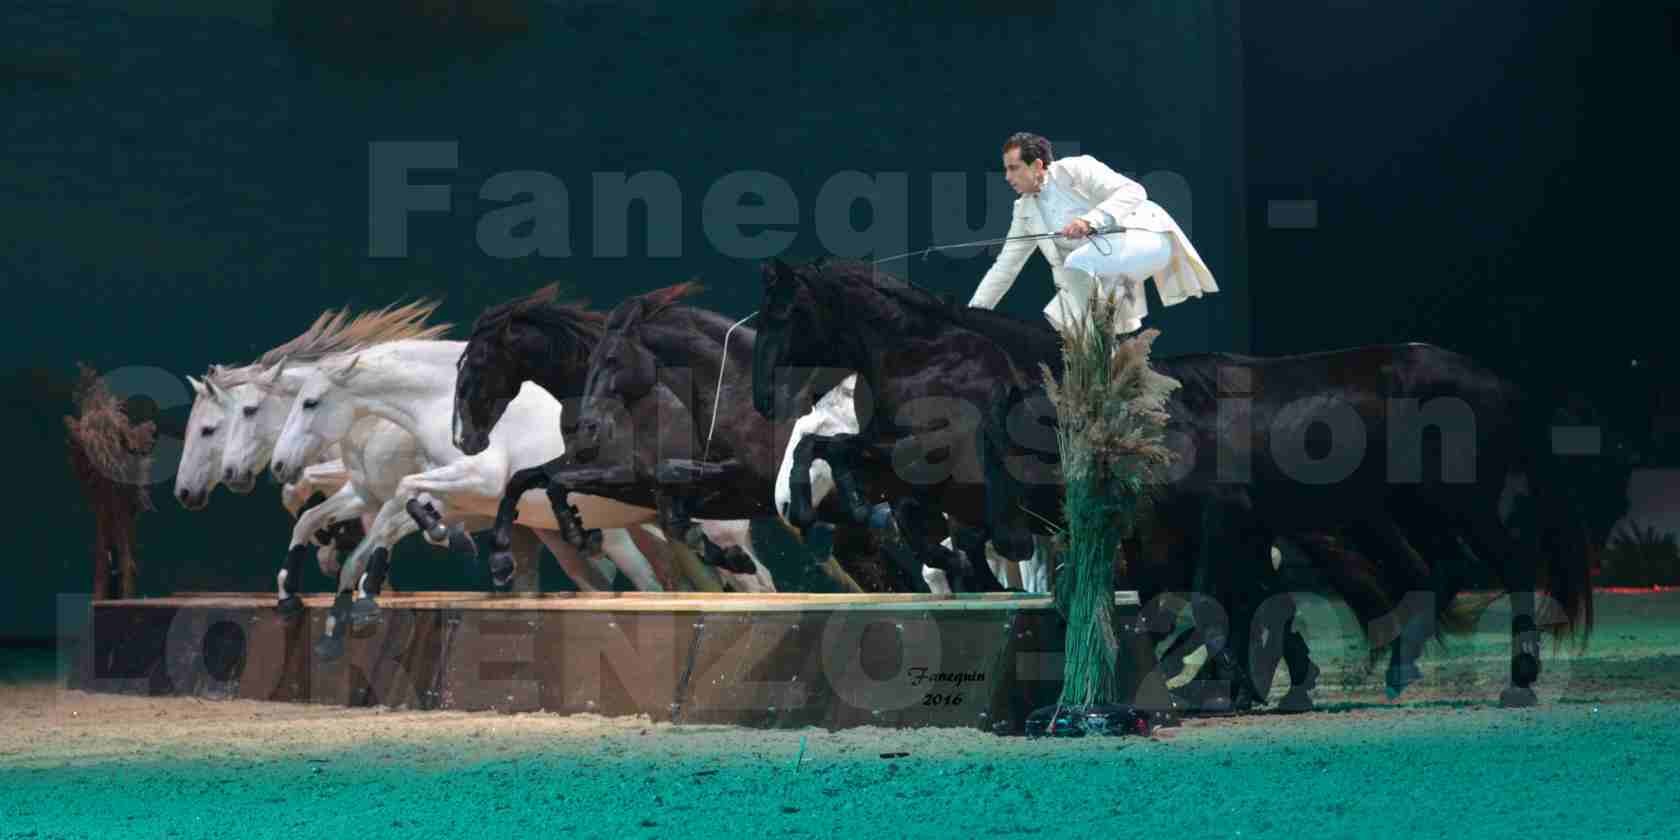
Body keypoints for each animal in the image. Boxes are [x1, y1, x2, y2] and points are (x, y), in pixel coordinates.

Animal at [272, 339, 776, 618]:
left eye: (310, 402)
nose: (278, 466)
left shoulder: (481, 479)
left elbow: (401, 500)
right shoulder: (458, 493)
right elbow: (394, 515)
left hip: (715, 525)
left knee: (757, 583)